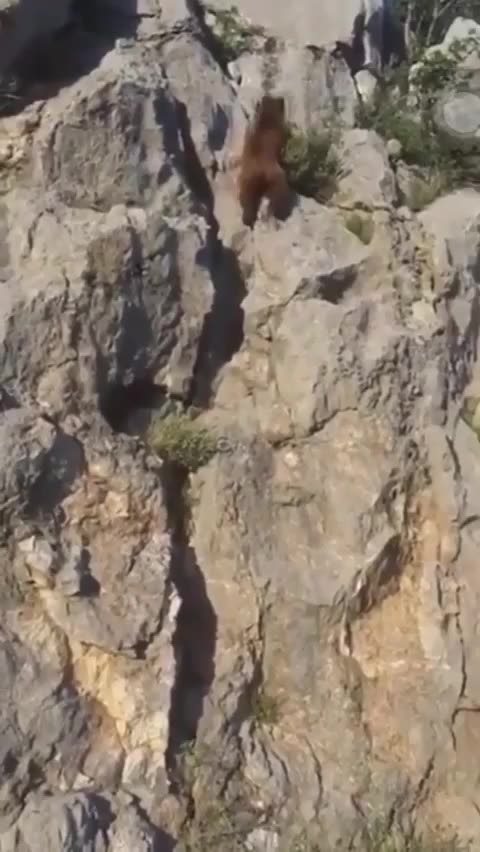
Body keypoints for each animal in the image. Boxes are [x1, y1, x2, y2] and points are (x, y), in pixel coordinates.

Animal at [237, 95, 291, 228]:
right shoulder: (281, 132)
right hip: (275, 177)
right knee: (276, 196)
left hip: (247, 181)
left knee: (247, 199)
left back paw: (248, 219)